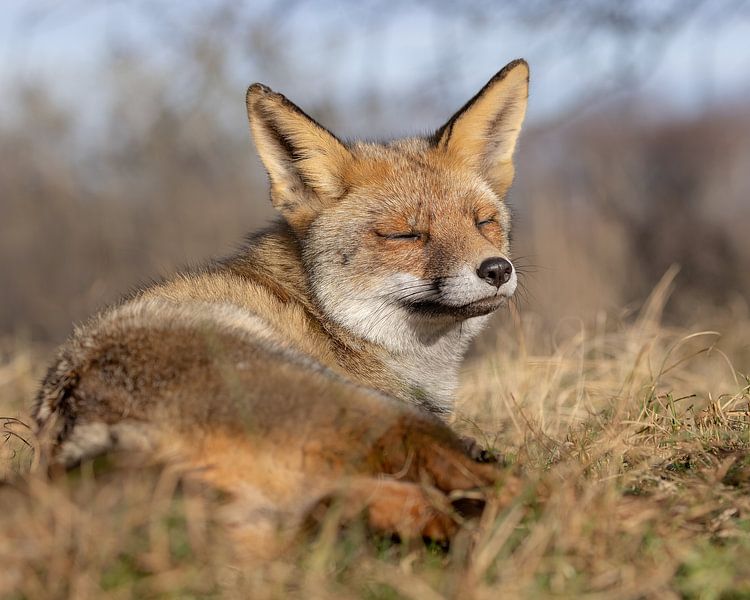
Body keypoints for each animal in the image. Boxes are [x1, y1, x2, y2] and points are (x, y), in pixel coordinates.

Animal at [32, 59, 529, 556]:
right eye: (404, 235)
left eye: (483, 222)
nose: (497, 269)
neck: (326, 317)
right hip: (364, 410)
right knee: (495, 487)